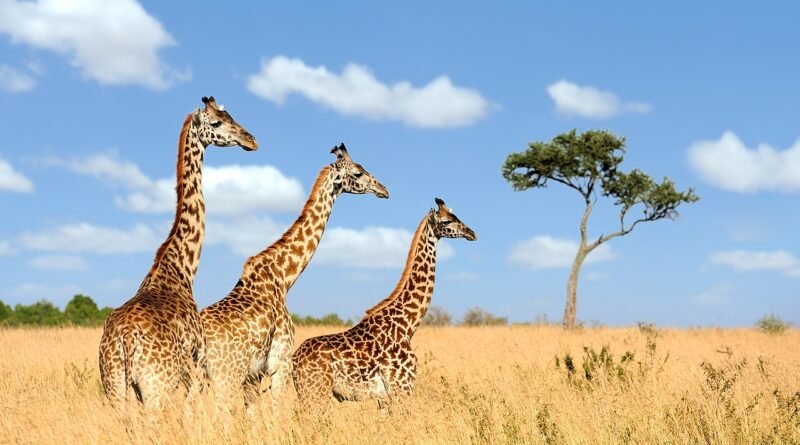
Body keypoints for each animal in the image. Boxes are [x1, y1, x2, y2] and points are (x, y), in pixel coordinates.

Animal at [98, 96, 258, 409]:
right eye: (217, 122)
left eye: (231, 116)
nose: (251, 140)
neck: (180, 267)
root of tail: (125, 340)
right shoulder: (198, 364)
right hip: (155, 388)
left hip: (115, 388)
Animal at [201, 144, 389, 414]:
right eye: (358, 172)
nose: (384, 190)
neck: (283, 278)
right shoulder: (280, 363)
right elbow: (277, 412)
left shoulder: (255, 374)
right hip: (226, 374)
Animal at [291, 198, 476, 408]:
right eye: (446, 221)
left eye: (456, 216)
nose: (471, 233)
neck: (408, 325)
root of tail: (294, 360)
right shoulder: (401, 387)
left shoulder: (385, 398)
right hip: (316, 393)